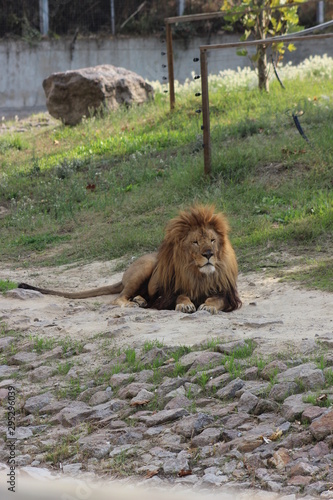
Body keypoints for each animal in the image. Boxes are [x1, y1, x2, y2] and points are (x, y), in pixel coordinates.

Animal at [18, 203, 240, 312]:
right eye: (195, 242)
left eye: (212, 240)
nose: (209, 254)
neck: (199, 274)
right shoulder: (170, 291)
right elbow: (181, 295)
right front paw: (185, 304)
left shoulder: (226, 293)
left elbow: (217, 299)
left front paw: (208, 305)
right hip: (145, 268)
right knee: (118, 298)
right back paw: (134, 303)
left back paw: (140, 300)